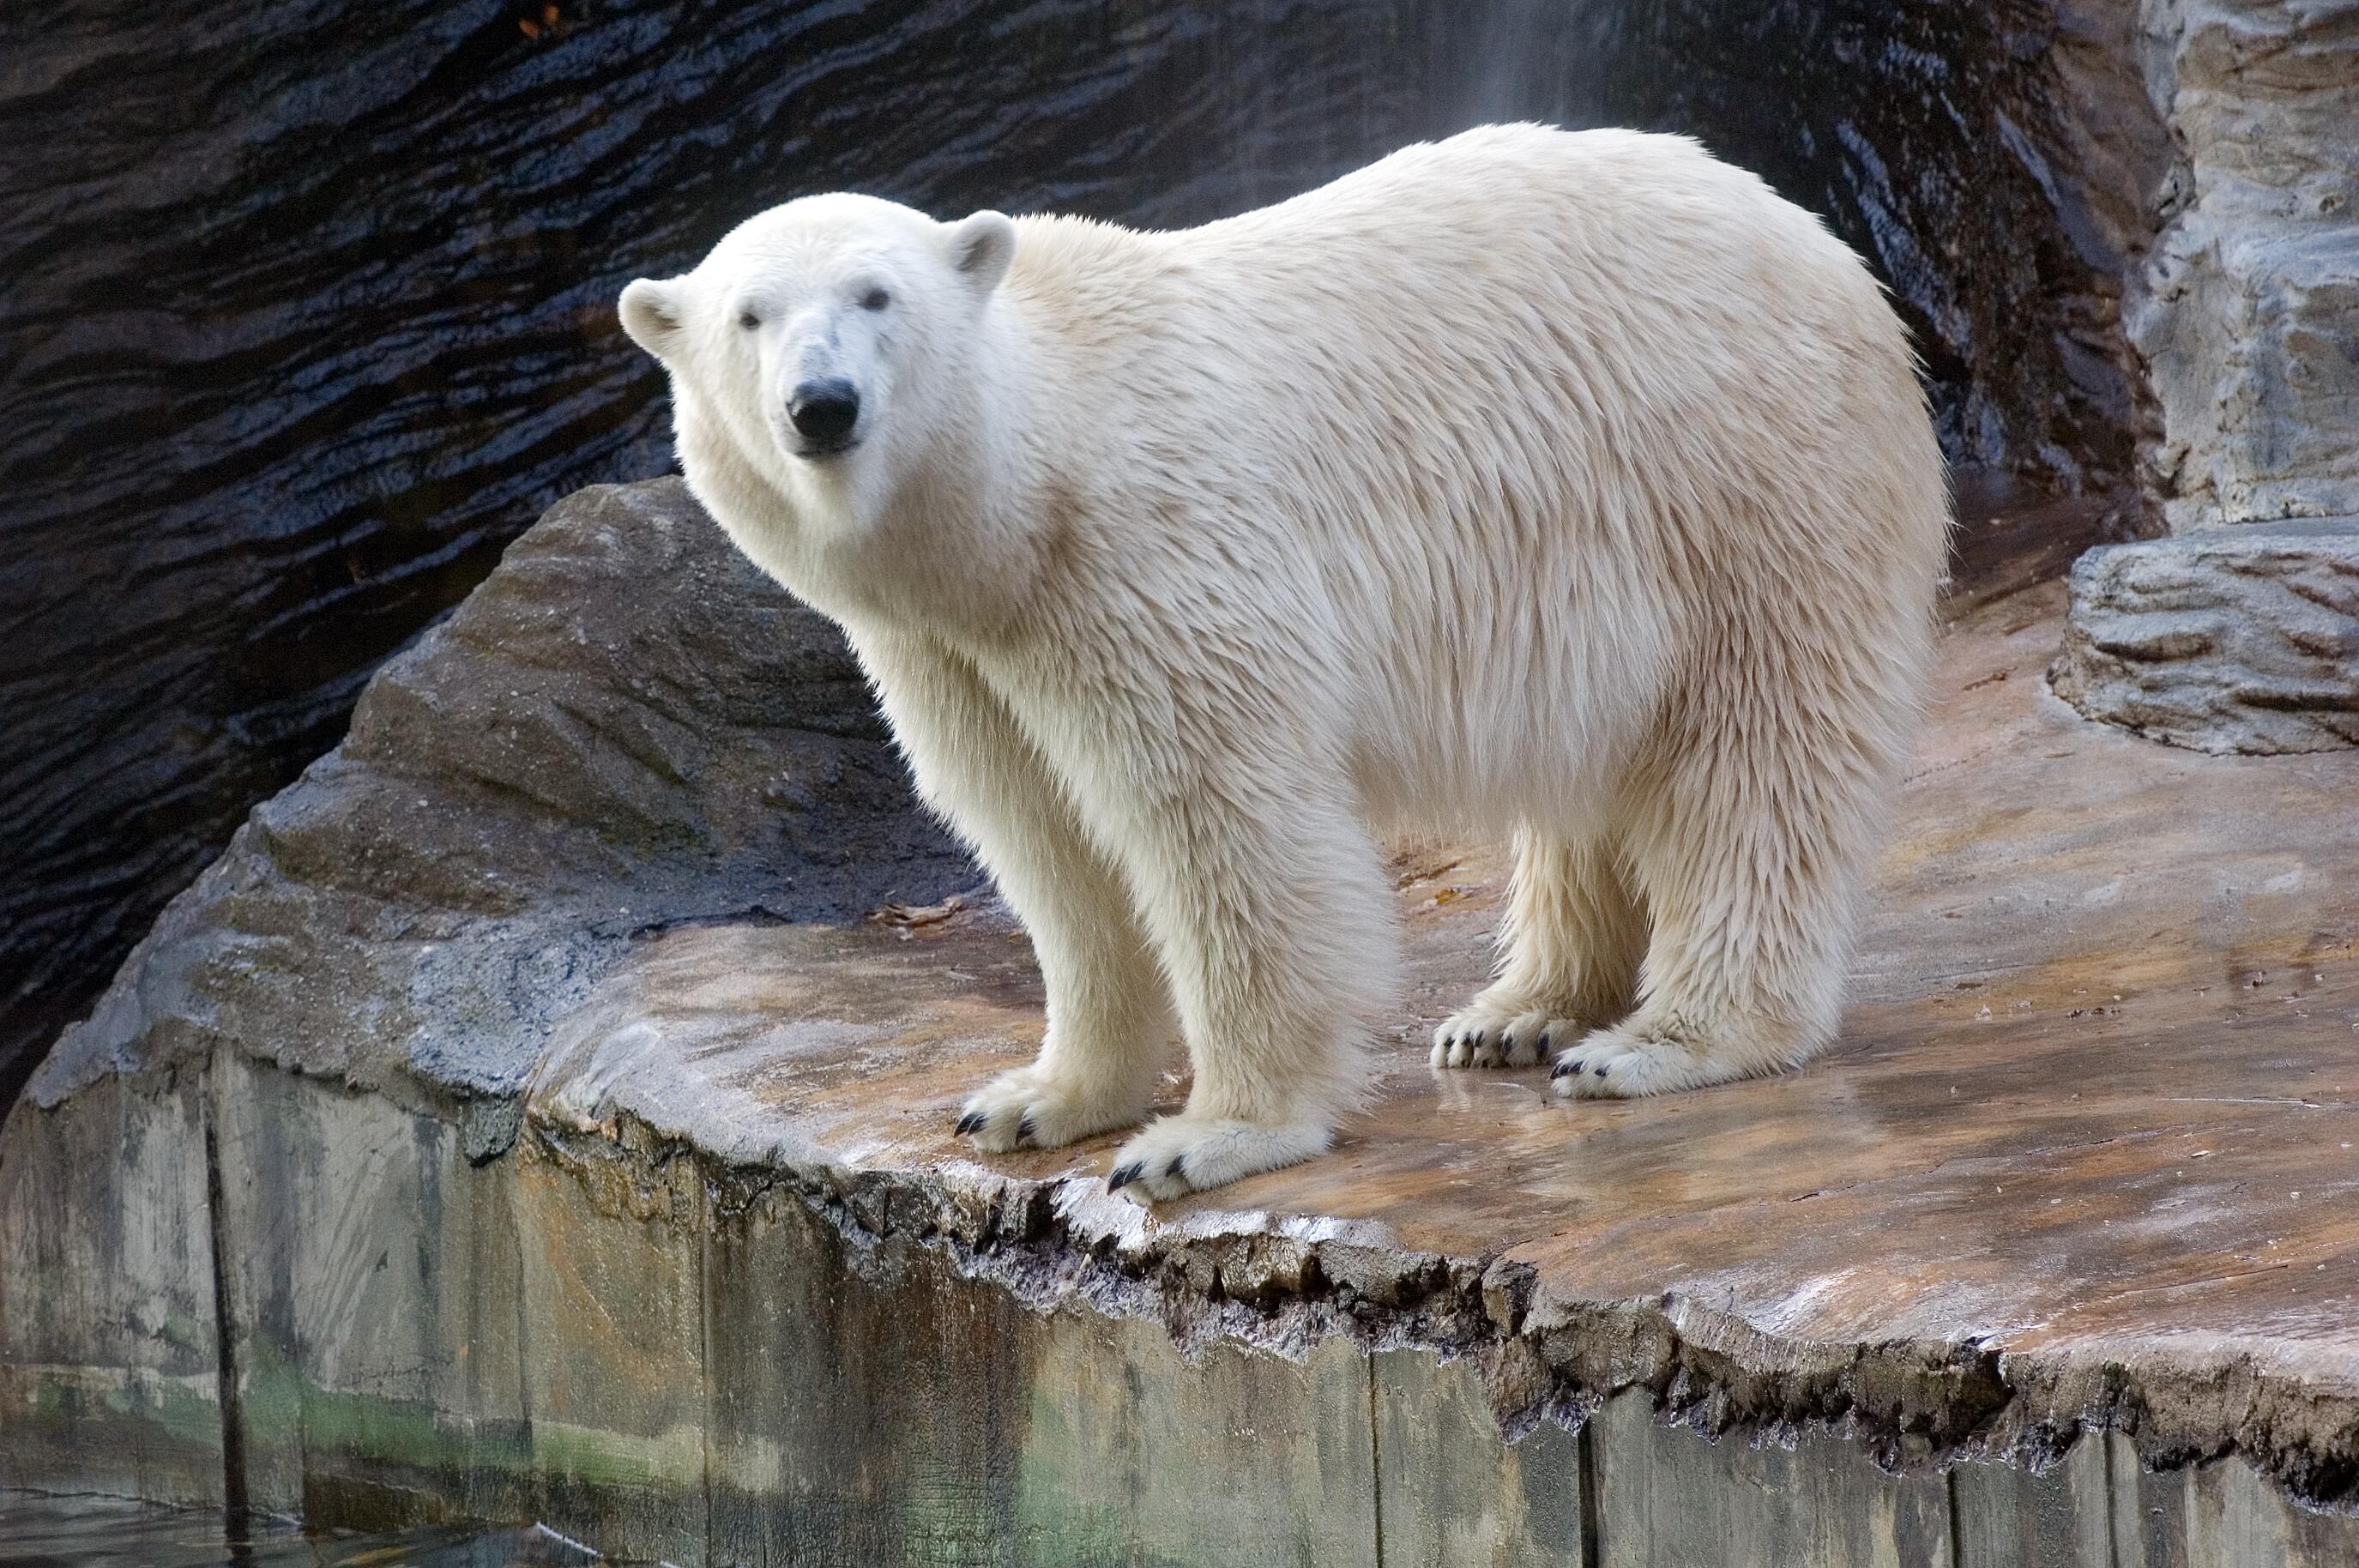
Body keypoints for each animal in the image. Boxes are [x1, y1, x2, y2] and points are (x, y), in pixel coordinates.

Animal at [617, 123, 1951, 1203]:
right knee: (1595, 768)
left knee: (1754, 756)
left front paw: (1204, 1138)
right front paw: (1034, 1099)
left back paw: (1664, 1037)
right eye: (748, 317)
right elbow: (1045, 838)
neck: (1030, 490)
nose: (822, 404)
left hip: (1741, 480)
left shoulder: (1147, 560)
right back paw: (1516, 1012)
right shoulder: (955, 648)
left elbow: (1217, 820)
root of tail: (1827, 252)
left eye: (877, 295)